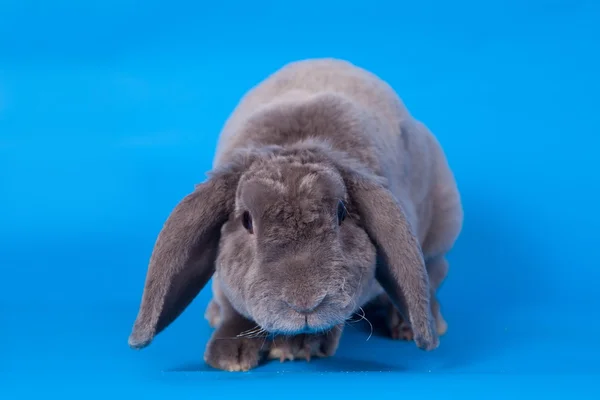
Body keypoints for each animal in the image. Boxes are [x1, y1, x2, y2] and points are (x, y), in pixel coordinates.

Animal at [127, 57, 464, 372]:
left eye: (341, 213)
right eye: (247, 220)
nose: (305, 303)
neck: (293, 143)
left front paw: (299, 346)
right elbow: (234, 309)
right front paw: (230, 355)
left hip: (441, 229)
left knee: (434, 272)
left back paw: (408, 325)